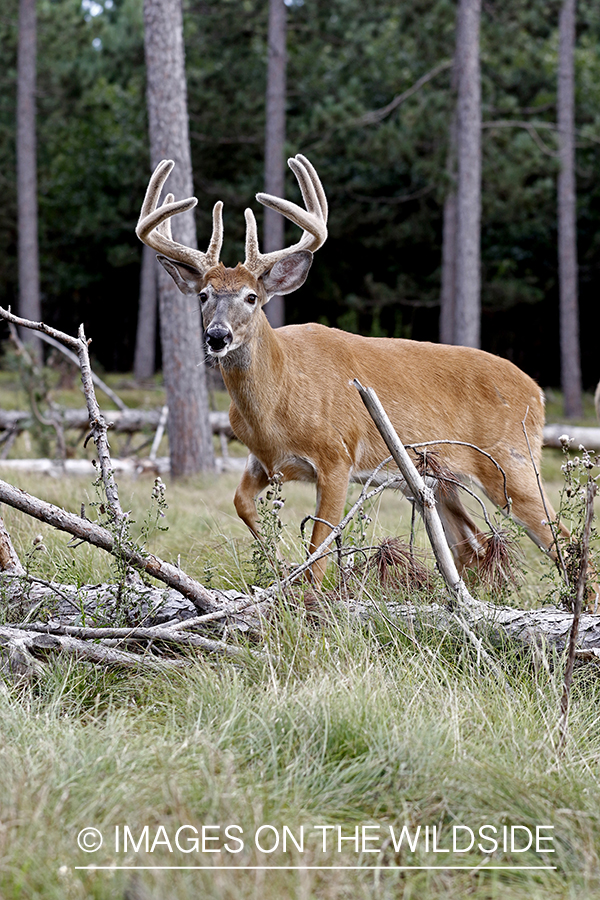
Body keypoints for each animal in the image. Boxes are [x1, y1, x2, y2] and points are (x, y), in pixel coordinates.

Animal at [138, 155, 568, 592]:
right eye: (203, 295)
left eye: (252, 297)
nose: (217, 336)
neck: (277, 405)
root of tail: (537, 392)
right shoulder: (263, 460)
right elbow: (242, 504)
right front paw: (279, 562)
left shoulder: (337, 455)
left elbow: (320, 545)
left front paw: (308, 595)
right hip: (438, 481)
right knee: (471, 546)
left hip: (512, 462)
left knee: (560, 538)